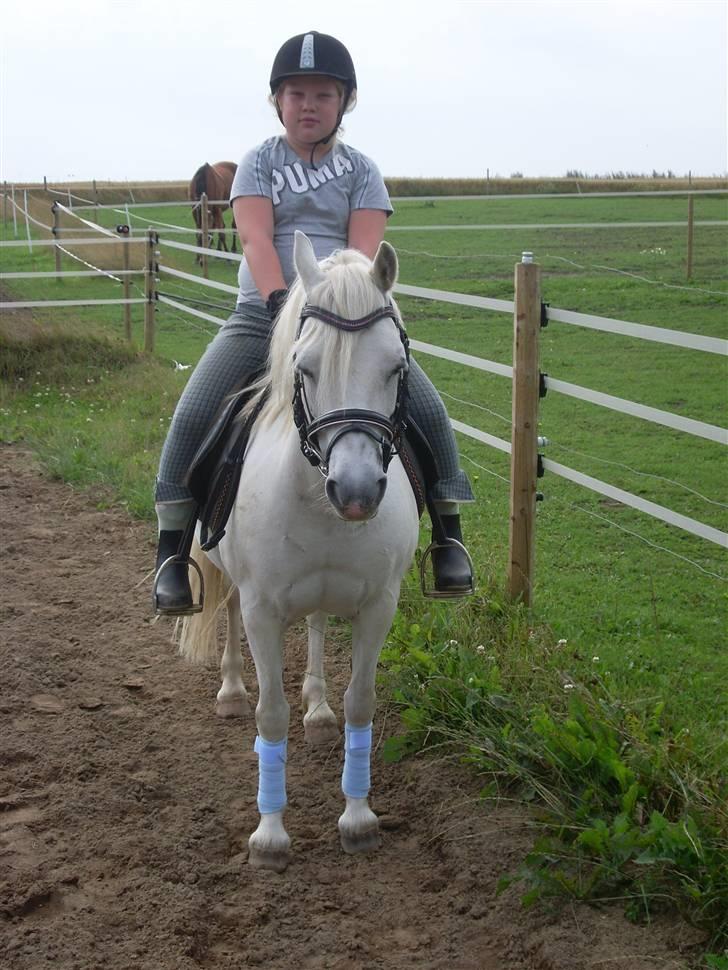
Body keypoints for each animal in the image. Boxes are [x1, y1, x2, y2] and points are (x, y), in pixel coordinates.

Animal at [179, 231, 419, 872]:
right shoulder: (263, 610)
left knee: (314, 626)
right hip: (230, 580)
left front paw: (358, 818)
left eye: (396, 367)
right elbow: (271, 713)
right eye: (304, 367)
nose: (356, 492)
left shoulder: (378, 605)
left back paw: (317, 710)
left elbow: (361, 702)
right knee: (230, 616)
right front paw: (269, 834)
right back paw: (232, 691)